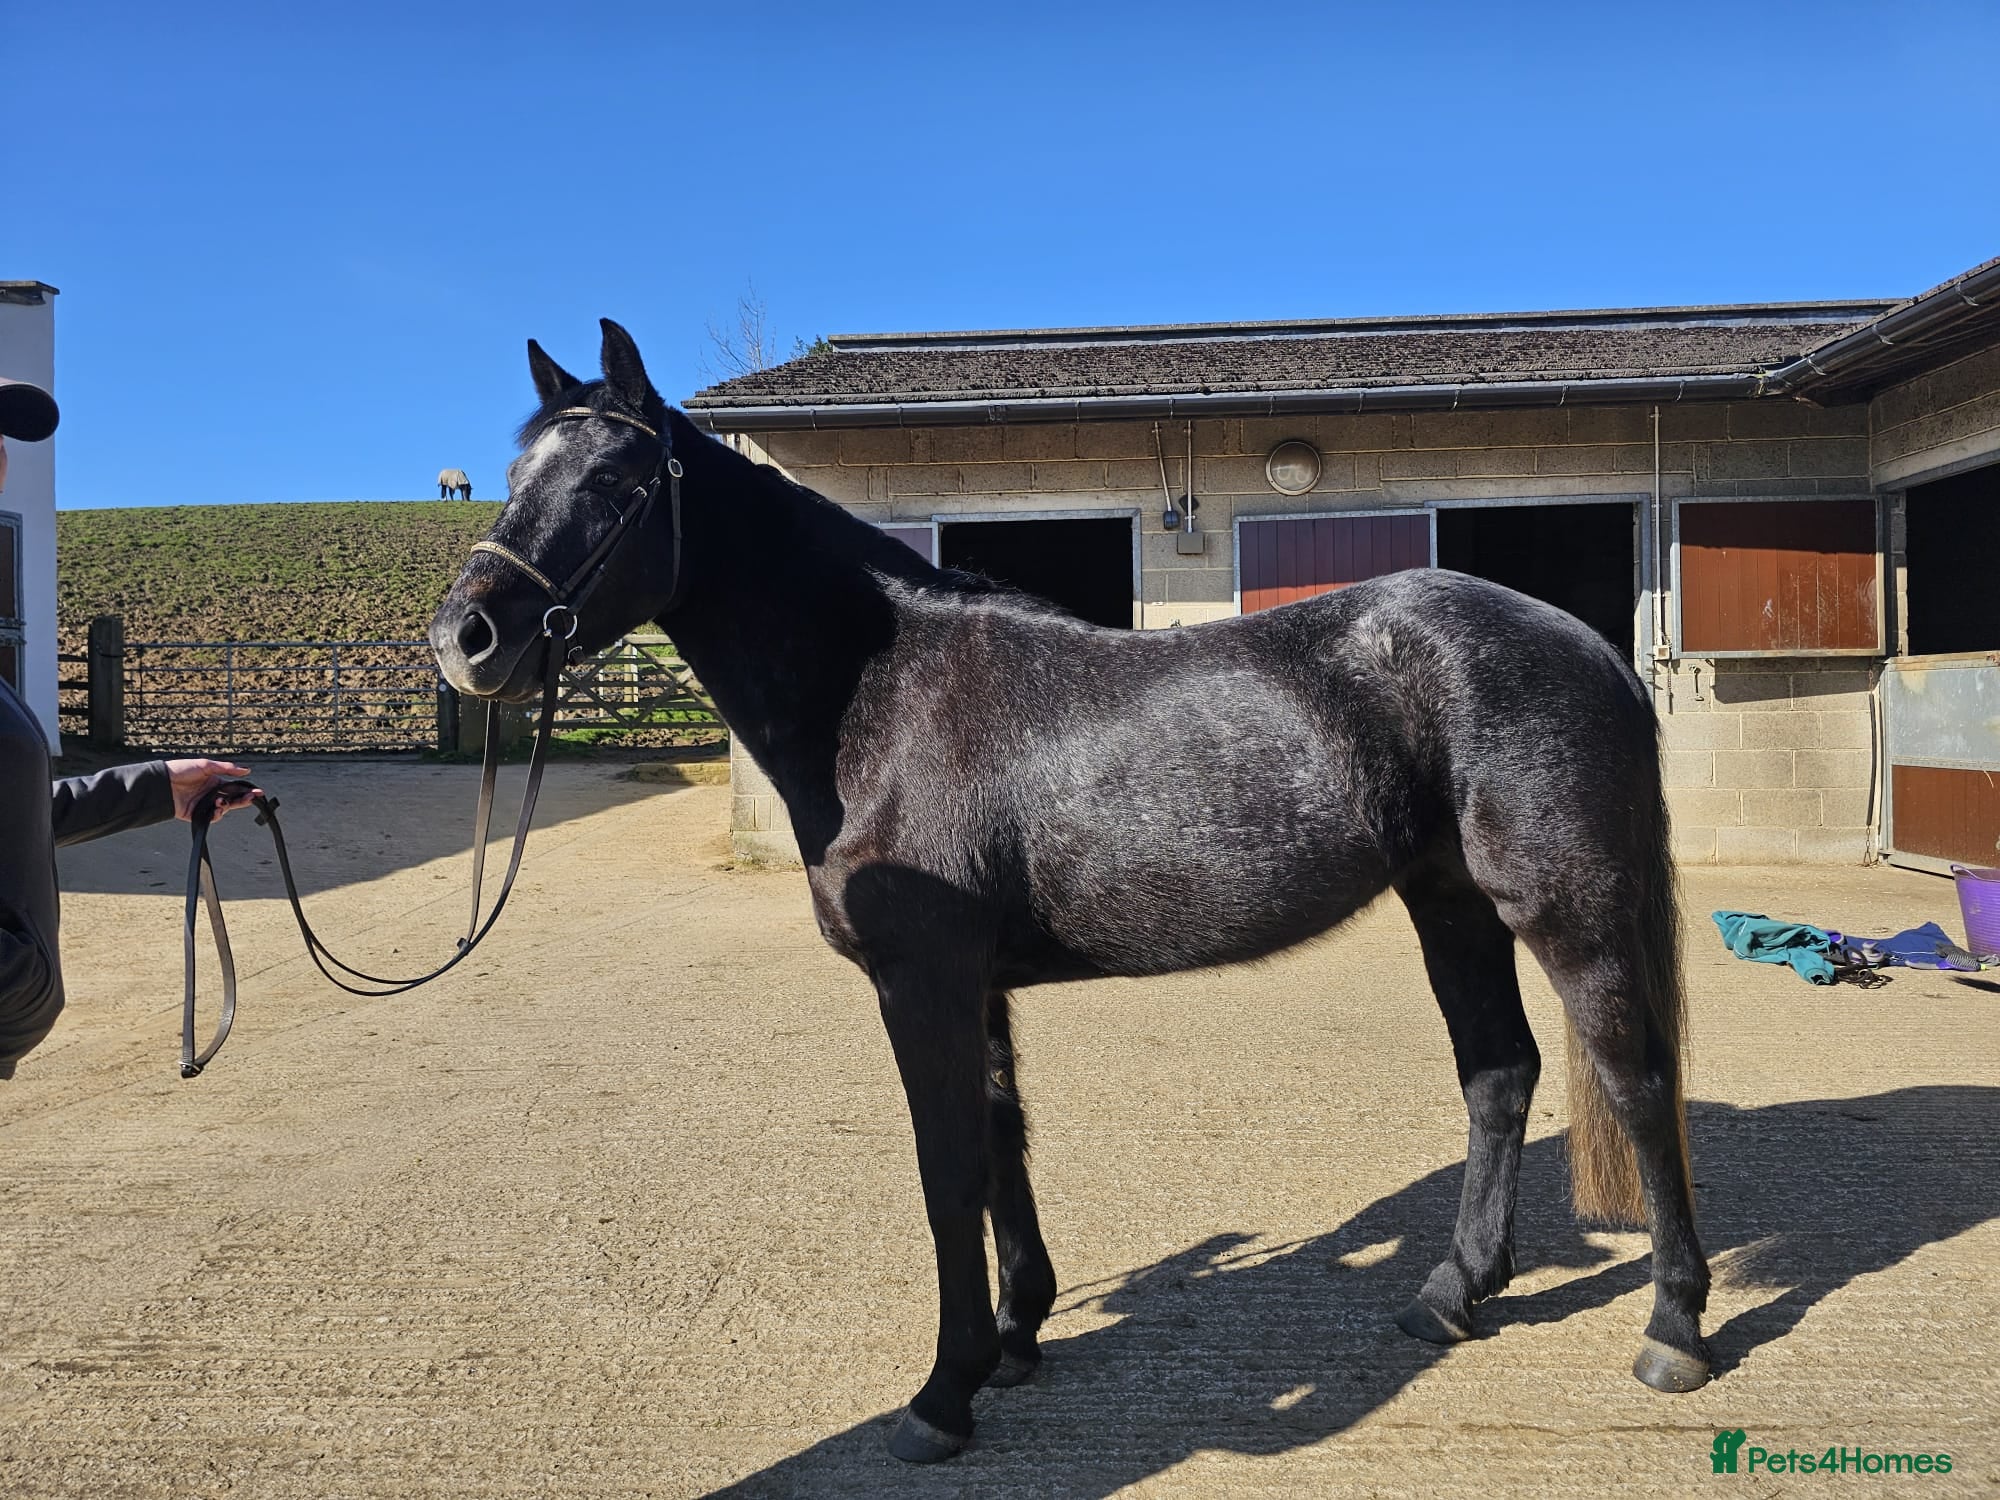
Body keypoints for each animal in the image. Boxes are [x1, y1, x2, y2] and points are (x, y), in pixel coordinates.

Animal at [429, 320, 1711, 1464]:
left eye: (614, 479)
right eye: (513, 474)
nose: (467, 637)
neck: (876, 695)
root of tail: (1586, 645)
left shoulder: (921, 983)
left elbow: (946, 1169)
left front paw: (940, 1396)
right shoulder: (973, 988)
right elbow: (1001, 1143)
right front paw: (1012, 1338)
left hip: (1562, 908)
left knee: (1637, 1082)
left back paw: (1672, 1329)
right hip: (1447, 904)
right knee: (1497, 1074)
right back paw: (1451, 1295)